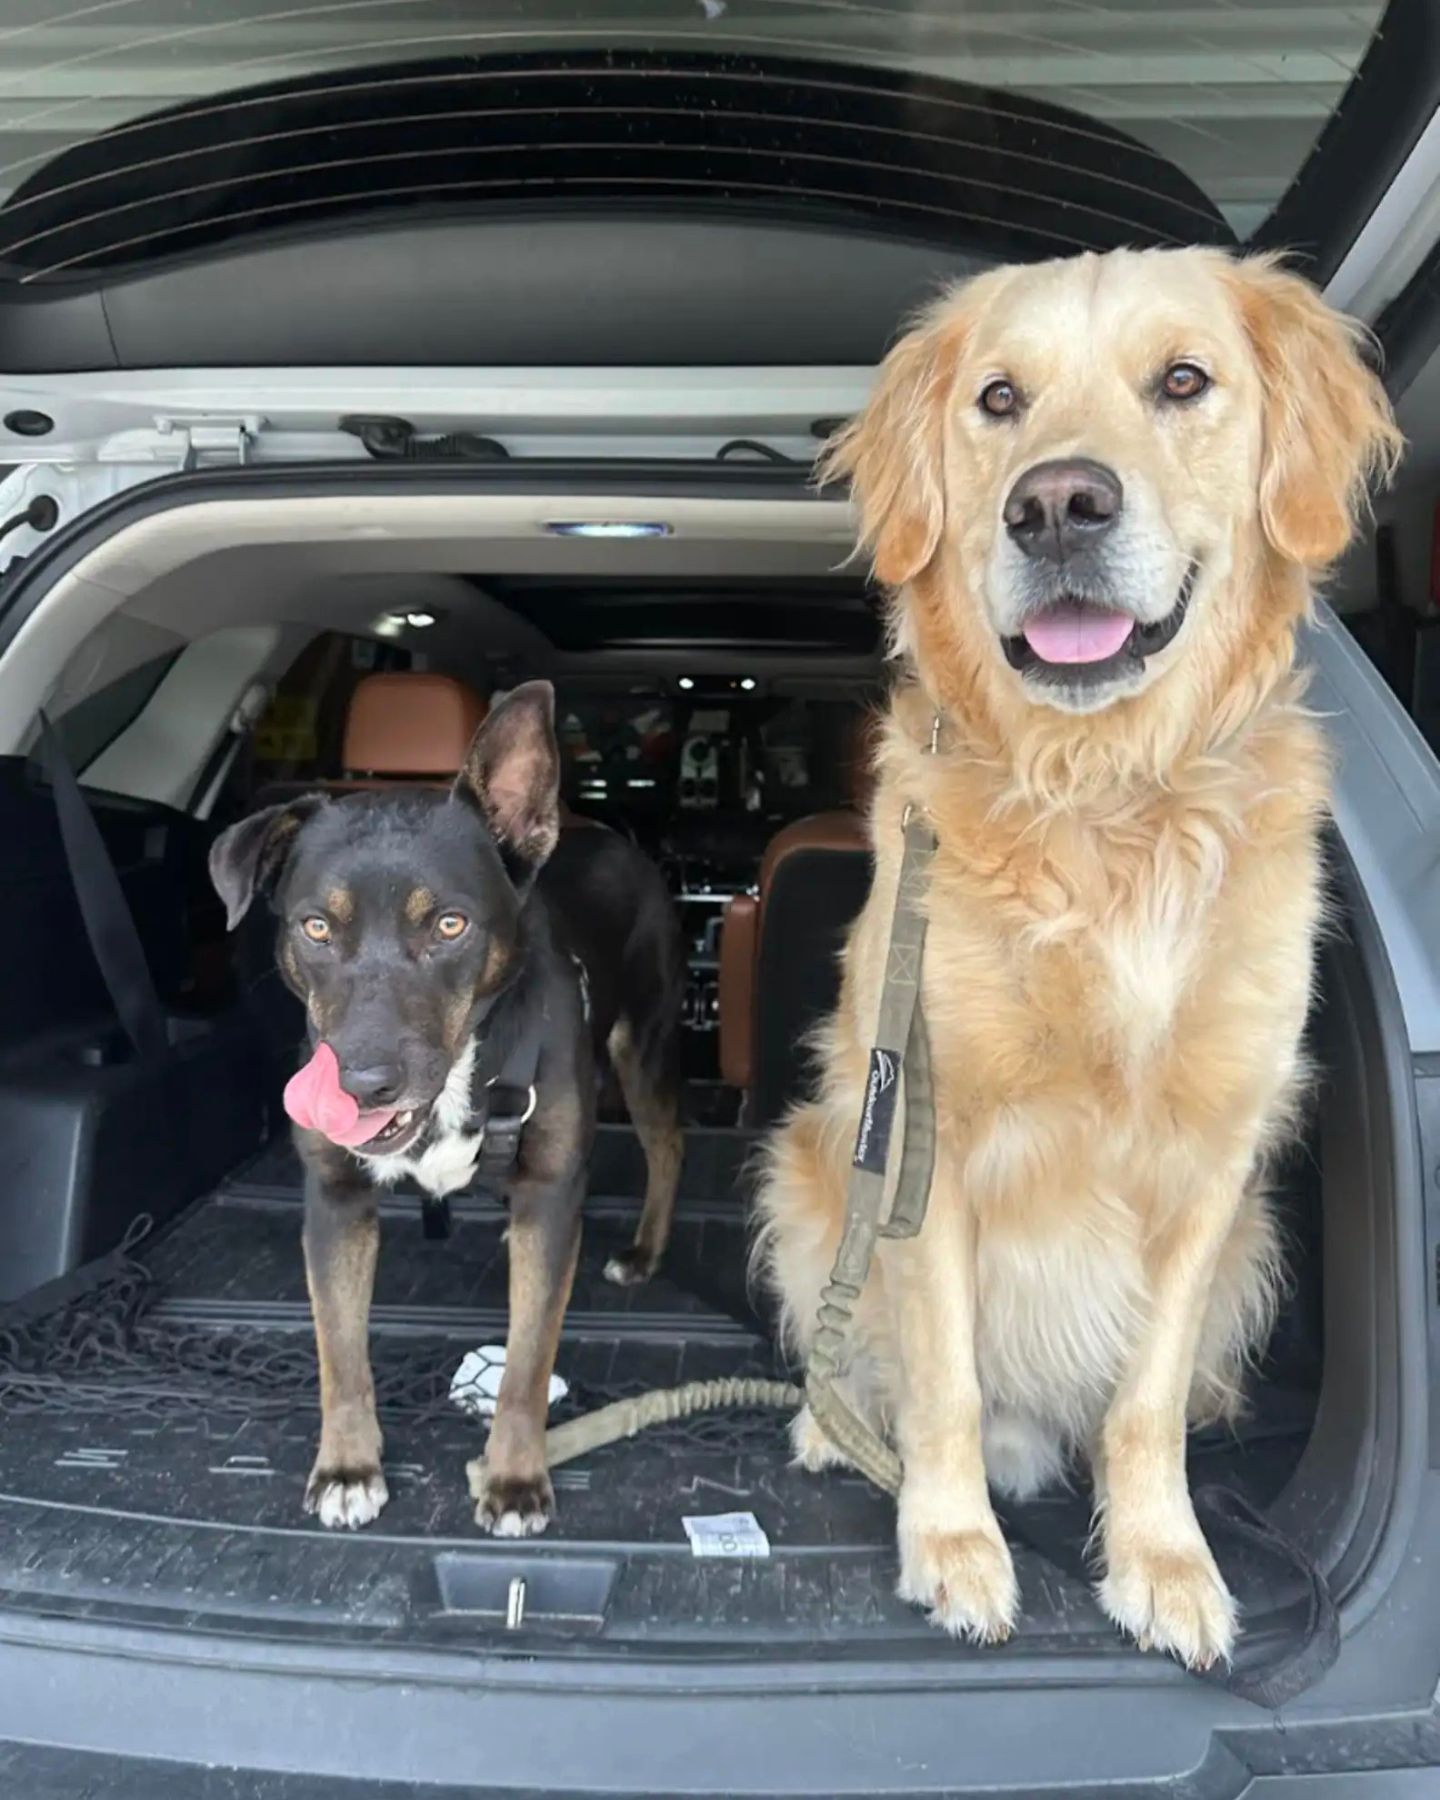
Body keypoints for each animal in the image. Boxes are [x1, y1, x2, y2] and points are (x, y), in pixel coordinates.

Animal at [209, 680, 687, 1540]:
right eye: (316, 927)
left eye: (450, 925)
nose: (363, 1085)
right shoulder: (334, 1203)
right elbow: (340, 1353)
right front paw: (348, 1467)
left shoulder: (550, 1194)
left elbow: (527, 1361)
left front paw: (515, 1478)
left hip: (645, 1042)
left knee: (668, 1145)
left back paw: (643, 1249)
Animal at [759, 246, 1404, 1663]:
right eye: (1000, 398)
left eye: (1185, 381)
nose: (1057, 505)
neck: (1104, 799)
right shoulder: (925, 1136)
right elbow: (942, 1375)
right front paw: (950, 1545)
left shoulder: (1217, 1161)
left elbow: (1143, 1400)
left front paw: (1163, 1559)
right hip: (806, 1163)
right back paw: (837, 1429)